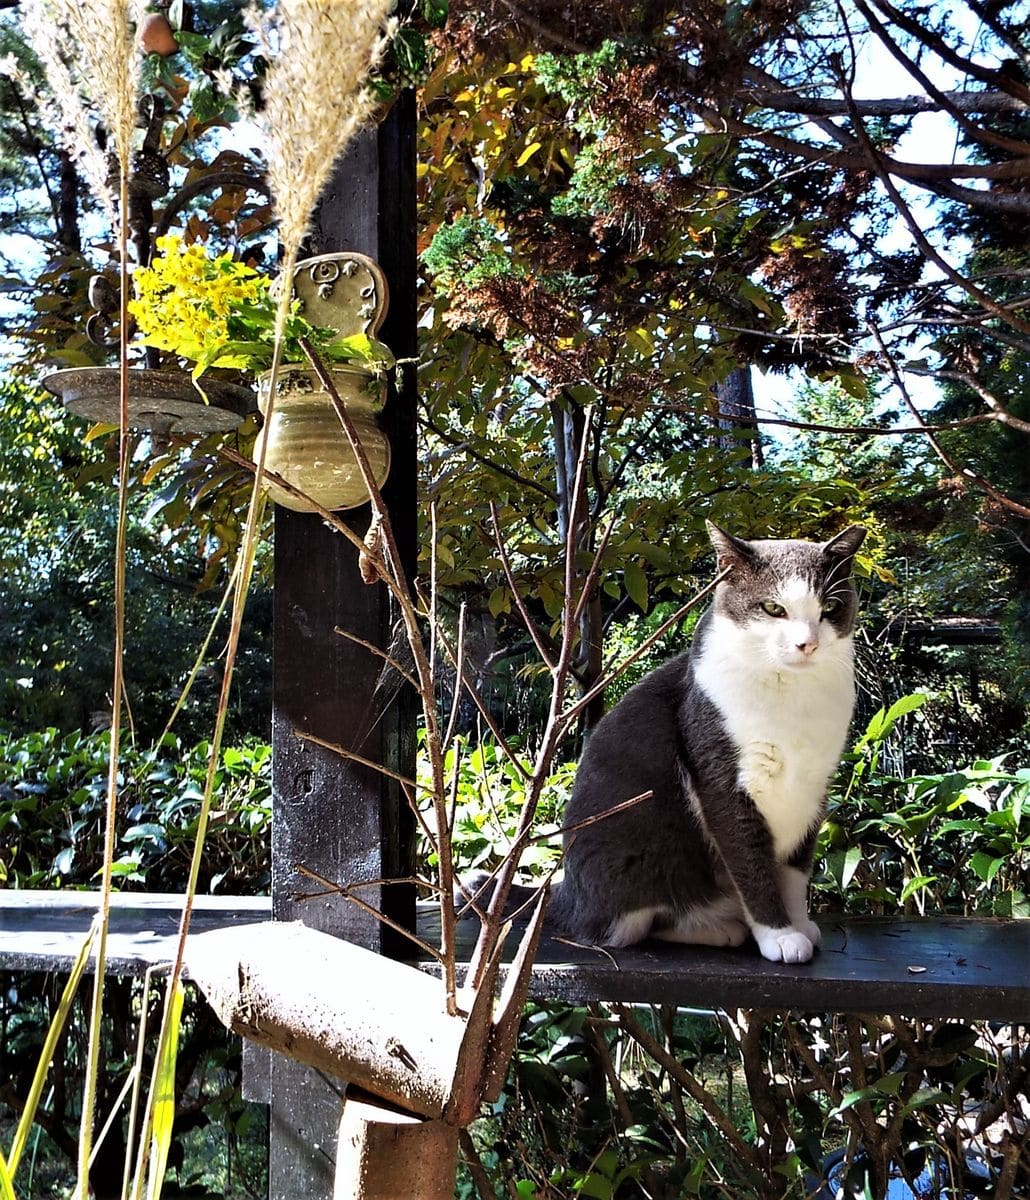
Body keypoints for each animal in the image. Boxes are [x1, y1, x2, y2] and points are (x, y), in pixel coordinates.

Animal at [477, 523, 864, 964]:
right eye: (772, 608)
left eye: (829, 607)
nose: (807, 644)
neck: (791, 695)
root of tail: (567, 896)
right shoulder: (720, 778)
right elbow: (752, 864)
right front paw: (779, 935)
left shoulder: (814, 788)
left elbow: (795, 871)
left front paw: (799, 924)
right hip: (643, 857)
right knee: (629, 928)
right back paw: (720, 929)